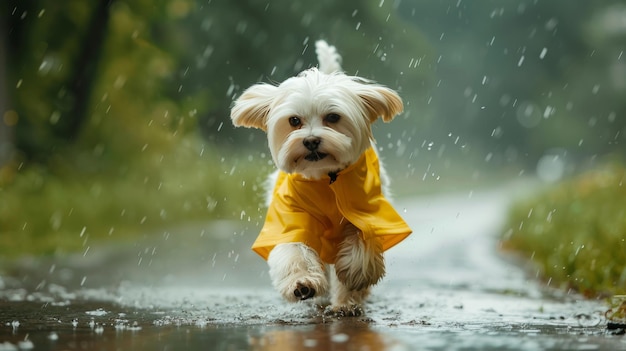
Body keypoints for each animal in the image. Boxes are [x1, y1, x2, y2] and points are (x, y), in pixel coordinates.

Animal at [229, 40, 410, 318]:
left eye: (333, 117)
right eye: (294, 120)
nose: (311, 140)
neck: (325, 179)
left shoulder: (365, 212)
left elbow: (360, 247)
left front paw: (353, 279)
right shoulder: (292, 216)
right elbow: (295, 248)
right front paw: (302, 283)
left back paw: (347, 303)